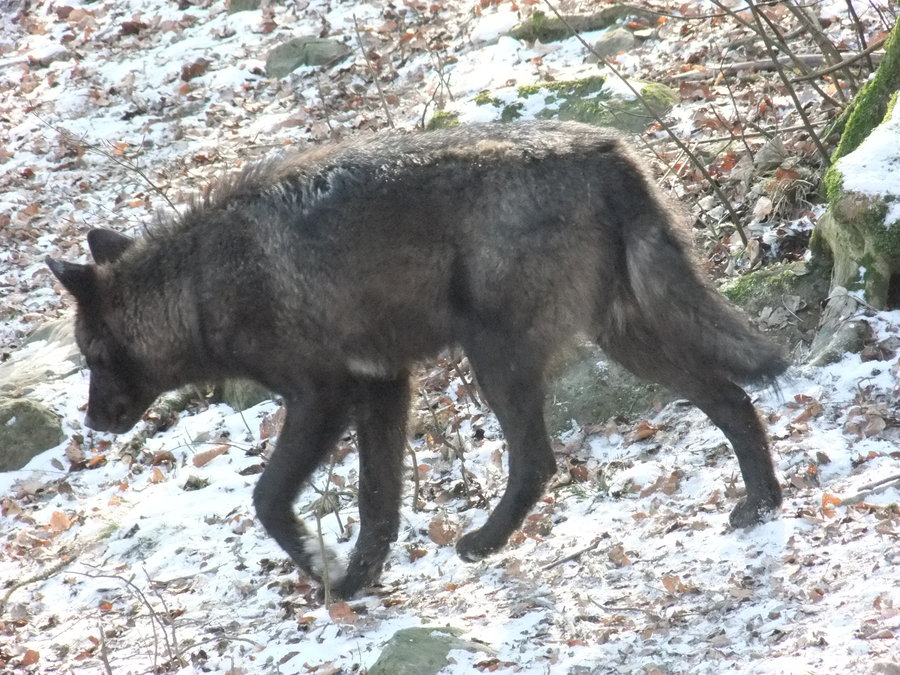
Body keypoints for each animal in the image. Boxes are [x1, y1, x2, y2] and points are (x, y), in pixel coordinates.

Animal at [45, 120, 784, 596]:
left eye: (93, 353)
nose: (91, 421)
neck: (199, 285)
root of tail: (605, 151)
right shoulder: (382, 388)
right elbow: (377, 502)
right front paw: (356, 580)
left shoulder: (321, 397)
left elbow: (268, 498)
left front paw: (323, 571)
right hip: (623, 338)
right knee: (730, 397)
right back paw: (762, 504)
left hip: (498, 359)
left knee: (538, 461)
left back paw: (484, 541)